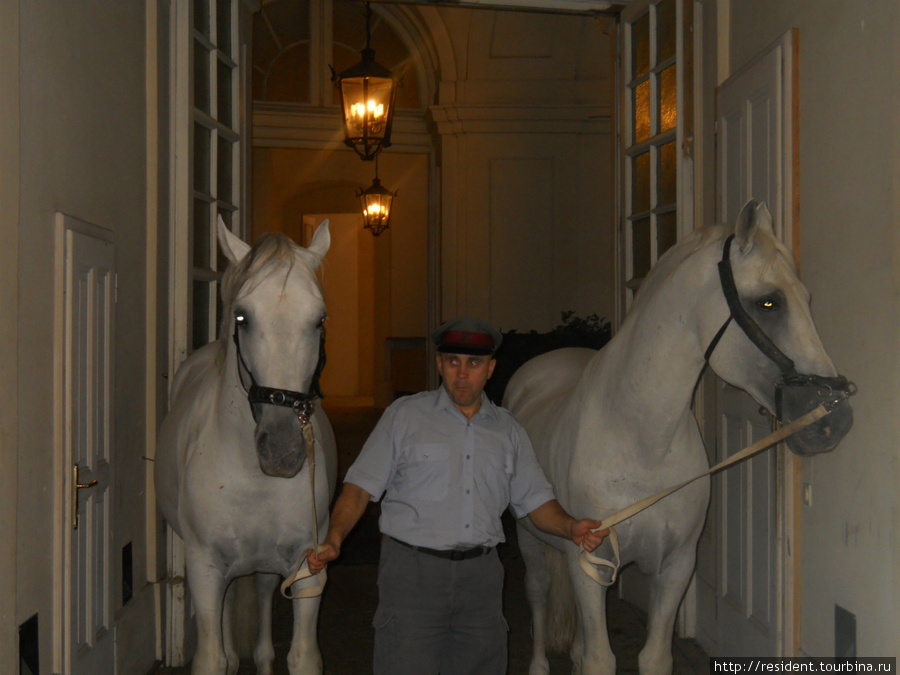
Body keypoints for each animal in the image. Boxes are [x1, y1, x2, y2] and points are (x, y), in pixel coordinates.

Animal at [155, 222, 338, 675]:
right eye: (242, 315)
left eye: (319, 320)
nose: (283, 452)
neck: (253, 479)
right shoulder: (205, 569)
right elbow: (214, 658)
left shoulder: (307, 570)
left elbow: (300, 655)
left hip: (265, 572)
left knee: (261, 640)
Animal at [506, 201, 852, 675]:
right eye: (769, 302)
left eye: (808, 299)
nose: (836, 419)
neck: (641, 443)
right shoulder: (588, 567)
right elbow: (599, 658)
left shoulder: (675, 566)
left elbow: (653, 656)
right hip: (531, 542)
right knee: (538, 597)